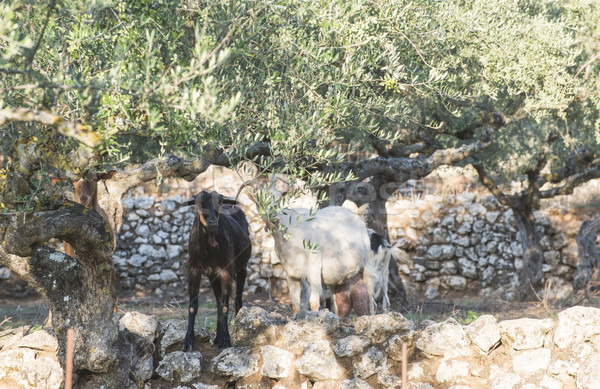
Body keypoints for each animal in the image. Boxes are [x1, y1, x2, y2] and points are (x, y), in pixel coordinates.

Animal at [180, 189, 251, 348]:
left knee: (237, 300)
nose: (213, 222)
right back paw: (218, 337)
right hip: (213, 276)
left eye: (219, 201)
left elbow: (225, 306)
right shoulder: (195, 270)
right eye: (199, 202)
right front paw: (188, 341)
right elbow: (193, 306)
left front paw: (226, 341)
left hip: (242, 268)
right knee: (218, 301)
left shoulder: (225, 270)